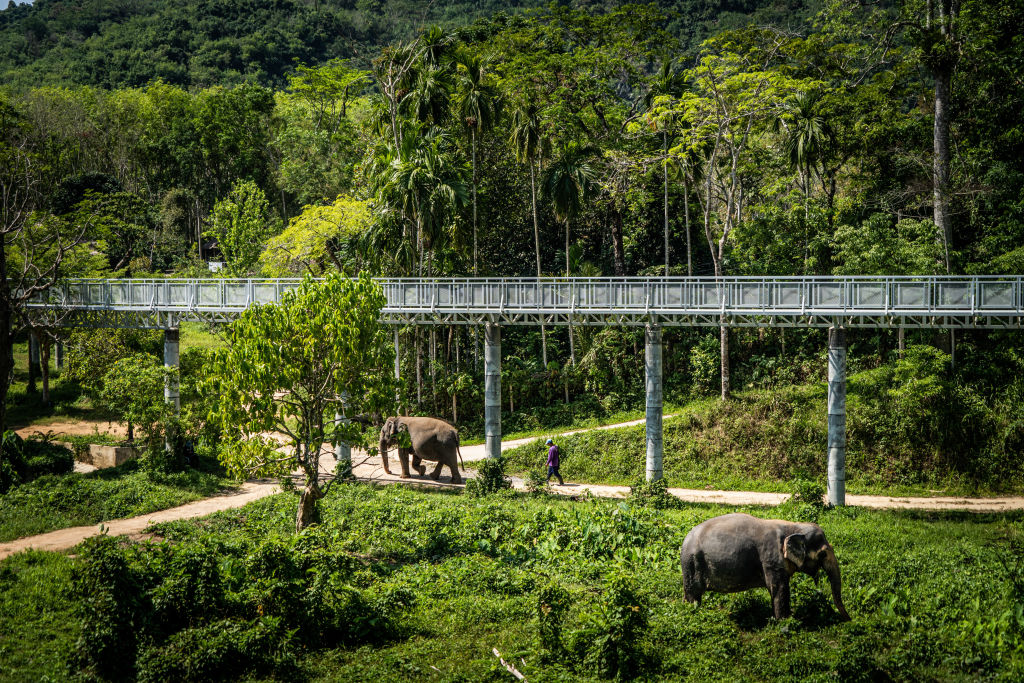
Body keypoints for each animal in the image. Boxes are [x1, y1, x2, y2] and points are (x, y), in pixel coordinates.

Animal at [679, 511, 847, 618]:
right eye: (823, 554)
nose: (848, 620)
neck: (792, 526)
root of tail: (685, 539)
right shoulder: (771, 559)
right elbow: (779, 589)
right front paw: (785, 620)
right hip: (691, 564)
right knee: (693, 593)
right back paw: (692, 612)